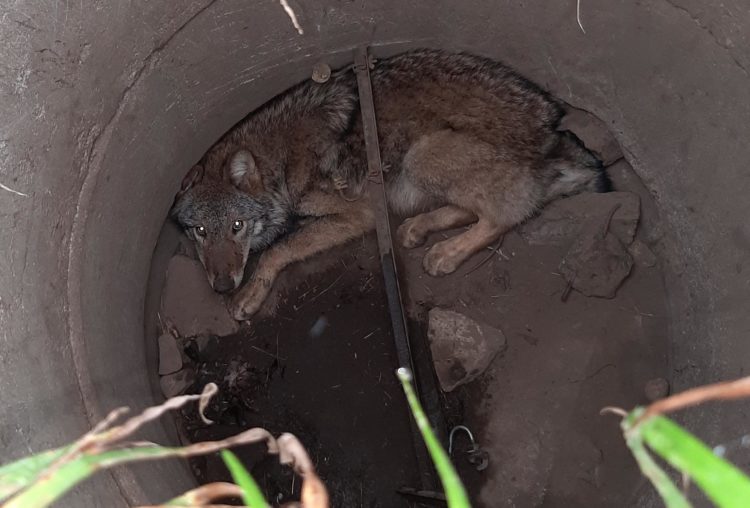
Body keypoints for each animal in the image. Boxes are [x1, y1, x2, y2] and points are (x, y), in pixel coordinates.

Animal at [172, 46, 612, 318]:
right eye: (199, 232)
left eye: (237, 226)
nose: (223, 286)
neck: (279, 160)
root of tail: (552, 137)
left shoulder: (361, 214)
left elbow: (278, 250)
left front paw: (249, 294)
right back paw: (419, 228)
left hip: (422, 154)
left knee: (504, 215)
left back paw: (445, 253)